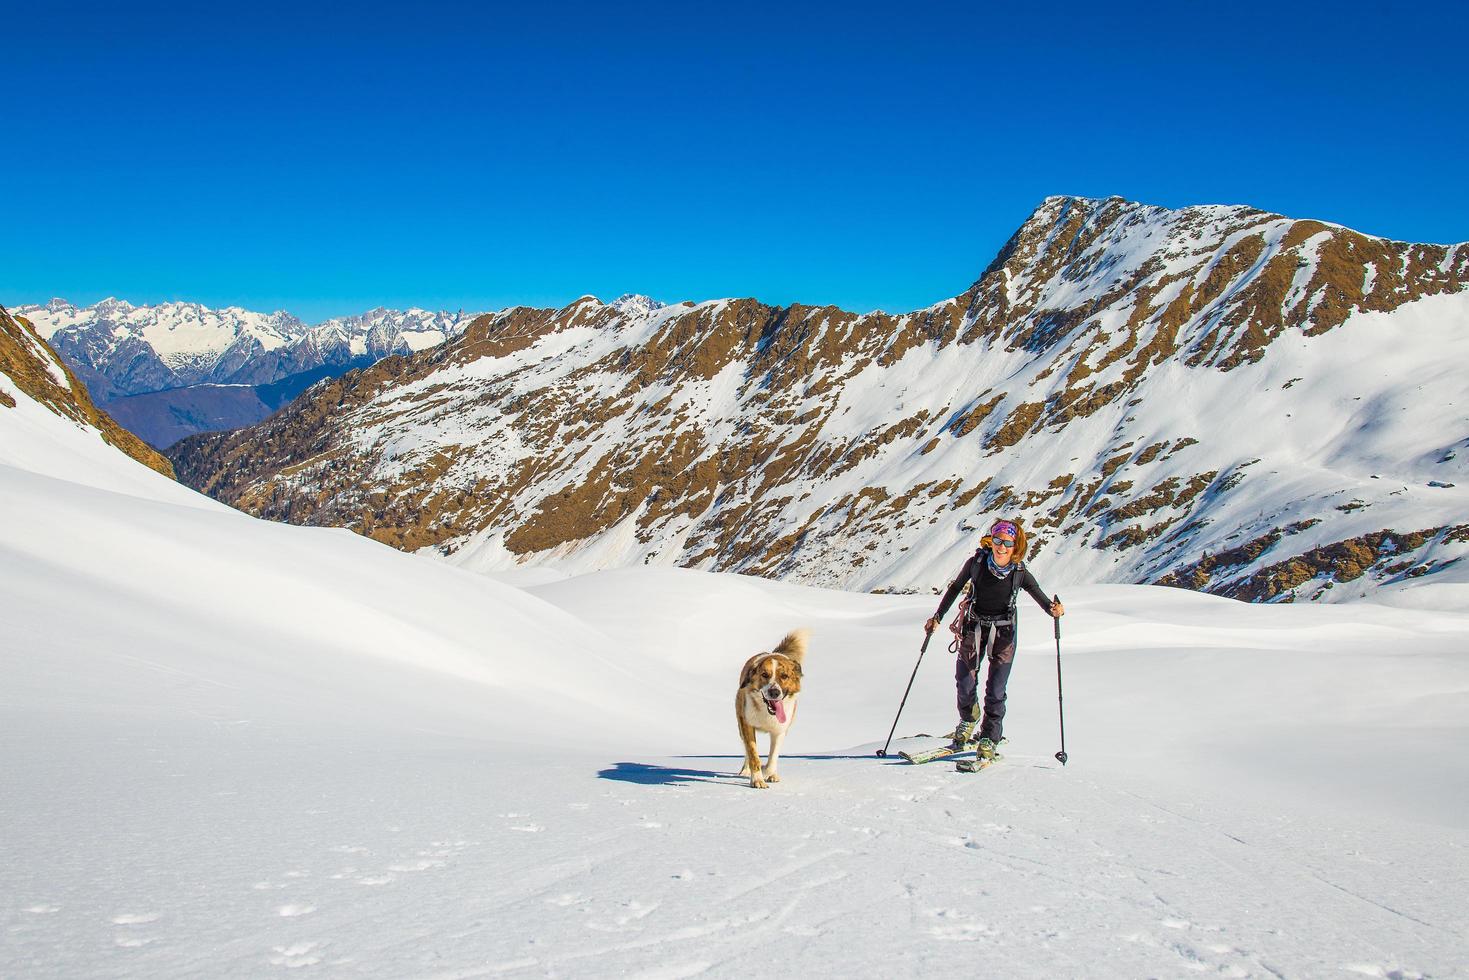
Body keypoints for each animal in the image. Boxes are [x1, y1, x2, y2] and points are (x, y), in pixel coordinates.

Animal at [740, 637, 810, 787]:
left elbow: (773, 757)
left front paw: (768, 771)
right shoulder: (747, 724)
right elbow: (752, 753)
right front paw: (758, 780)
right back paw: (745, 770)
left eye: (784, 676)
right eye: (764, 675)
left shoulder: (780, 730)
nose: (774, 692)